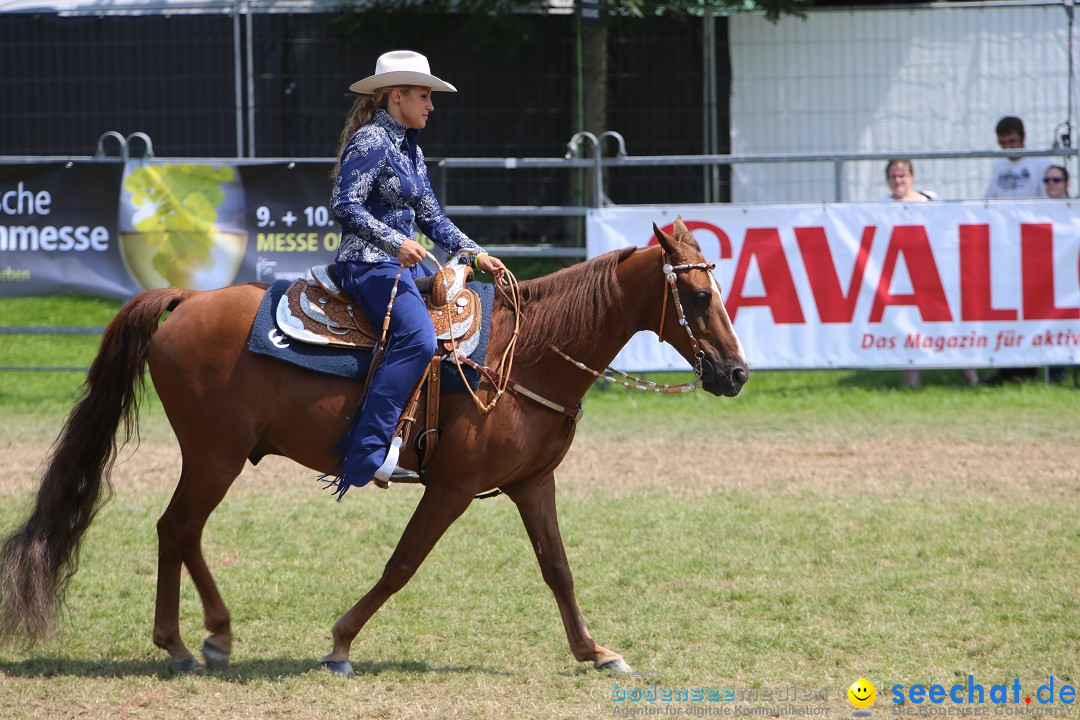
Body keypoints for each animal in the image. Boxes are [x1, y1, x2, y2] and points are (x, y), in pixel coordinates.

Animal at [0, 218, 747, 677]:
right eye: (697, 294)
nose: (736, 373)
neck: (525, 355)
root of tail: (185, 299)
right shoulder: (451, 489)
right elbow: (401, 566)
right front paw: (339, 644)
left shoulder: (534, 484)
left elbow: (557, 569)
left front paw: (596, 651)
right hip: (214, 455)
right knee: (178, 527)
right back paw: (195, 640)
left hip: (213, 457)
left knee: (175, 531)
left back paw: (197, 638)